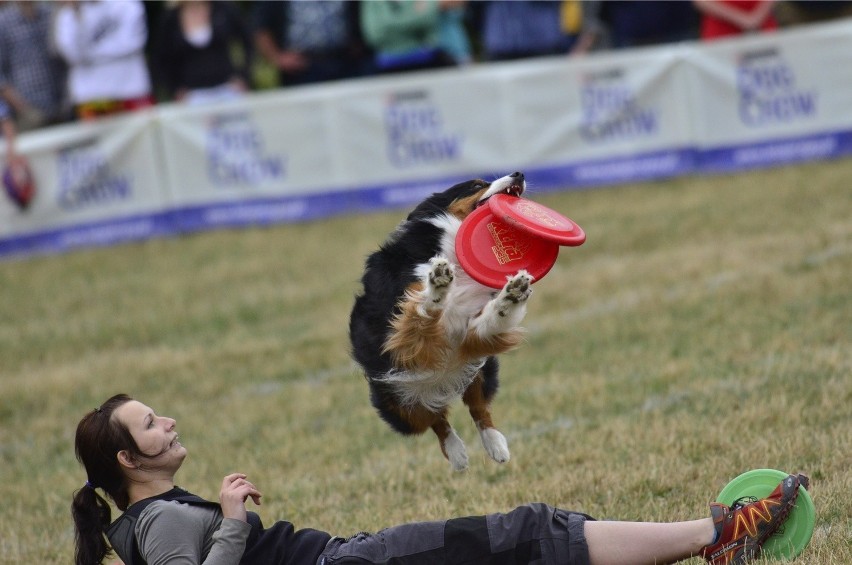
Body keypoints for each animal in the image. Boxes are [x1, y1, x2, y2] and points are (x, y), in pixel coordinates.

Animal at [346, 170, 532, 470]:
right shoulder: (403, 331)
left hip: (481, 369)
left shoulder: (471, 329)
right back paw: (456, 453)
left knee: (477, 405)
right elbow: (421, 308)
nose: (519, 173)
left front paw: (513, 293)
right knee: (433, 419)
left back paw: (496, 445)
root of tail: (441, 383)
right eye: (477, 184)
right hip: (397, 403)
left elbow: (493, 316)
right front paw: (437, 283)